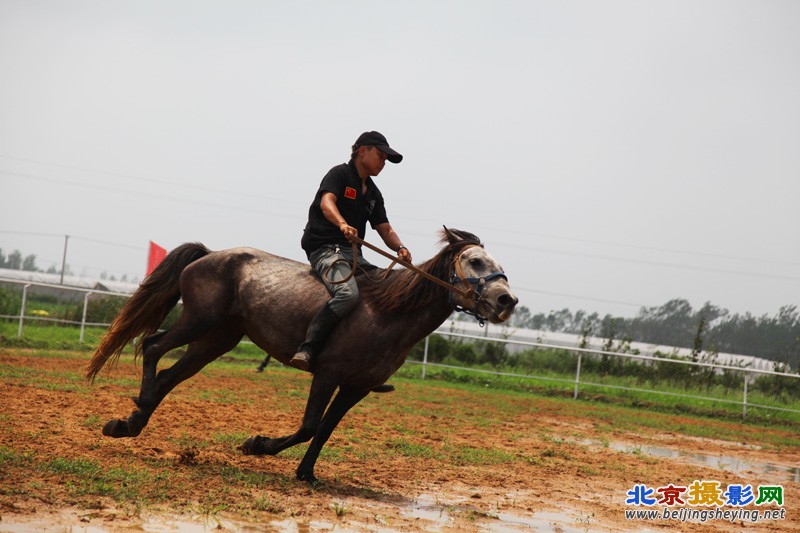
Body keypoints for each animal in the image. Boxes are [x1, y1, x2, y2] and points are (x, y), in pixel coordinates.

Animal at [84, 227, 516, 480]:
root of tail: (209, 253)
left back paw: (128, 424)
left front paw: (306, 473)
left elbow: (324, 430)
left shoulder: (356, 387)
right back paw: (138, 408)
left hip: (216, 339)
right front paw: (257, 445)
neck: (386, 313)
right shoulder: (327, 375)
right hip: (199, 322)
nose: (506, 301)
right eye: (475, 261)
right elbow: (309, 425)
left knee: (169, 374)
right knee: (152, 346)